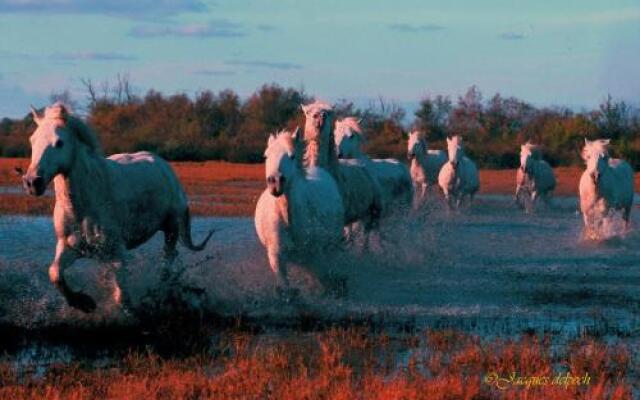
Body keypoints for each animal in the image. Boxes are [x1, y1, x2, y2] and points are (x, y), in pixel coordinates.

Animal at [18, 103, 214, 312]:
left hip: (171, 229)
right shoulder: (70, 247)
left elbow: (122, 298)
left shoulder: (117, 253)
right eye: (32, 141)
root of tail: (164, 166)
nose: (32, 182)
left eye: (59, 143)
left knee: (167, 261)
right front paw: (83, 303)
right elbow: (55, 273)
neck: (85, 207)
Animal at [254, 128, 344, 294]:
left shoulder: (315, 253)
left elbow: (321, 277)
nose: (275, 182)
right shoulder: (276, 254)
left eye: (292, 156)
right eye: (266, 156)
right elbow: (284, 285)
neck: (288, 220)